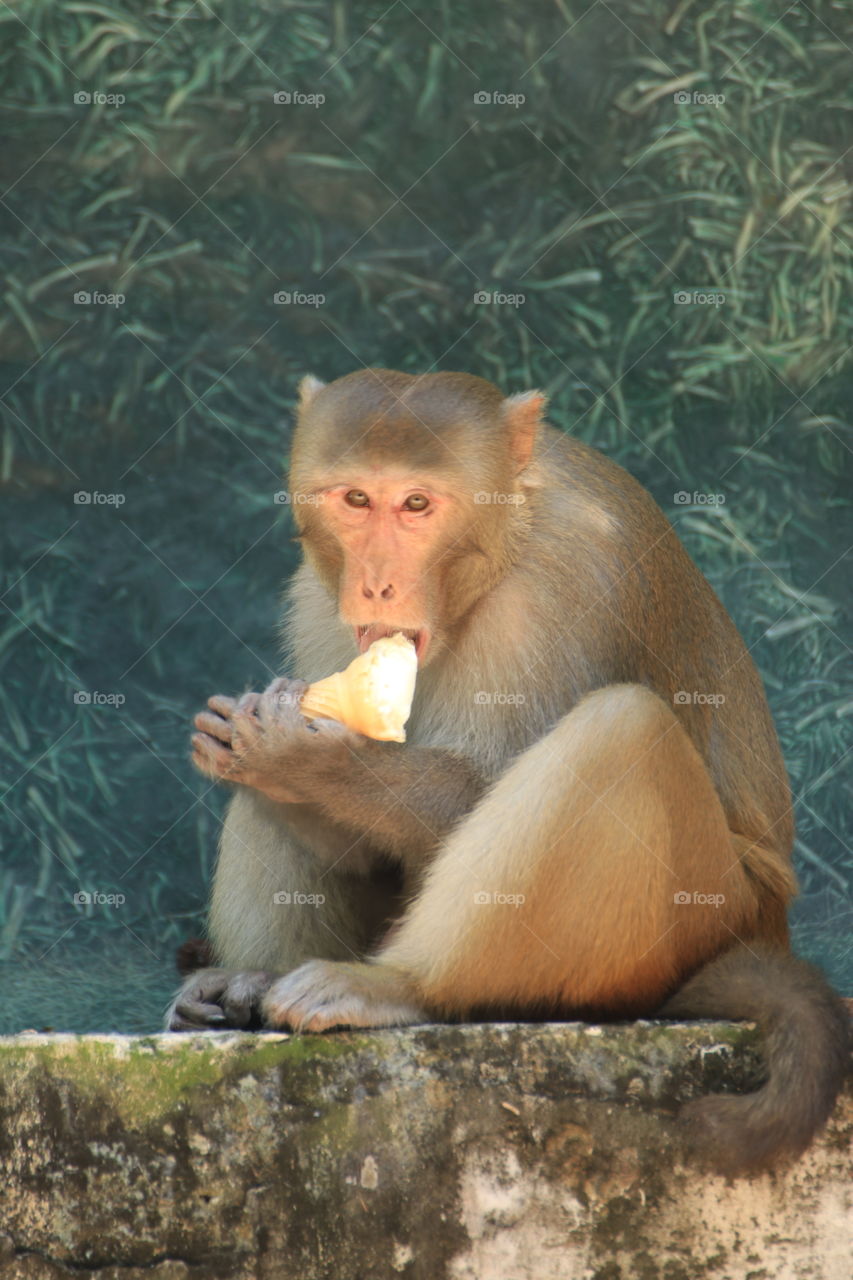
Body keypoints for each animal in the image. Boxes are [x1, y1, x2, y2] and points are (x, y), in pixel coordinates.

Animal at [167, 368, 849, 1177]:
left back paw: (401, 984)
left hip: (695, 920)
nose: (374, 586)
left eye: (417, 504)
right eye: (356, 500)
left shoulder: (570, 581)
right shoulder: (314, 598)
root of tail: (766, 931)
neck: (506, 537)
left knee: (622, 729)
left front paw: (304, 760)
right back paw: (251, 981)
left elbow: (483, 786)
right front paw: (260, 748)